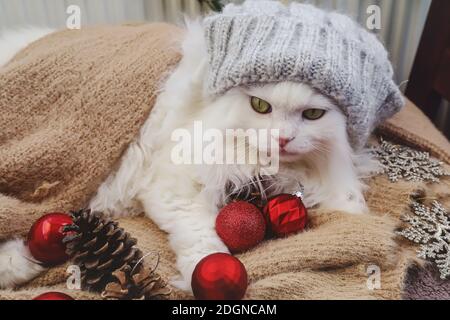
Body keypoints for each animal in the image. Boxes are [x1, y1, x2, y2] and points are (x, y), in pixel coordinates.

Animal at [0, 20, 380, 290]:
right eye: (260, 106)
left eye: (313, 115)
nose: (283, 139)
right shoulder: (173, 187)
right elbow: (203, 240)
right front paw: (207, 273)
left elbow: (347, 200)